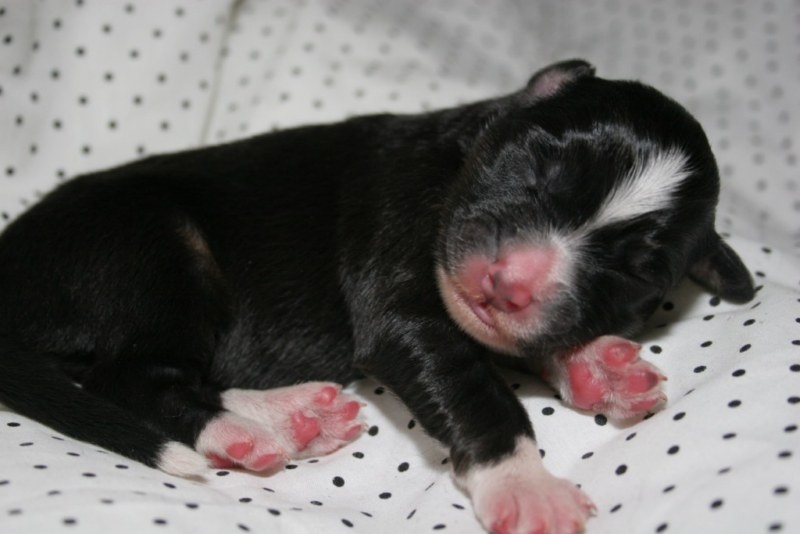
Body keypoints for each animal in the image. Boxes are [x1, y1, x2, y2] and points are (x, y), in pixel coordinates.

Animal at [0, 60, 754, 533]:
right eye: (536, 162)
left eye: (636, 271)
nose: (509, 284)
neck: (464, 151)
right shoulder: (404, 294)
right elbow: (478, 391)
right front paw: (526, 485)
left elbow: (523, 339)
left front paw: (596, 365)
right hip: (155, 245)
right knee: (132, 376)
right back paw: (246, 429)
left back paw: (292, 416)